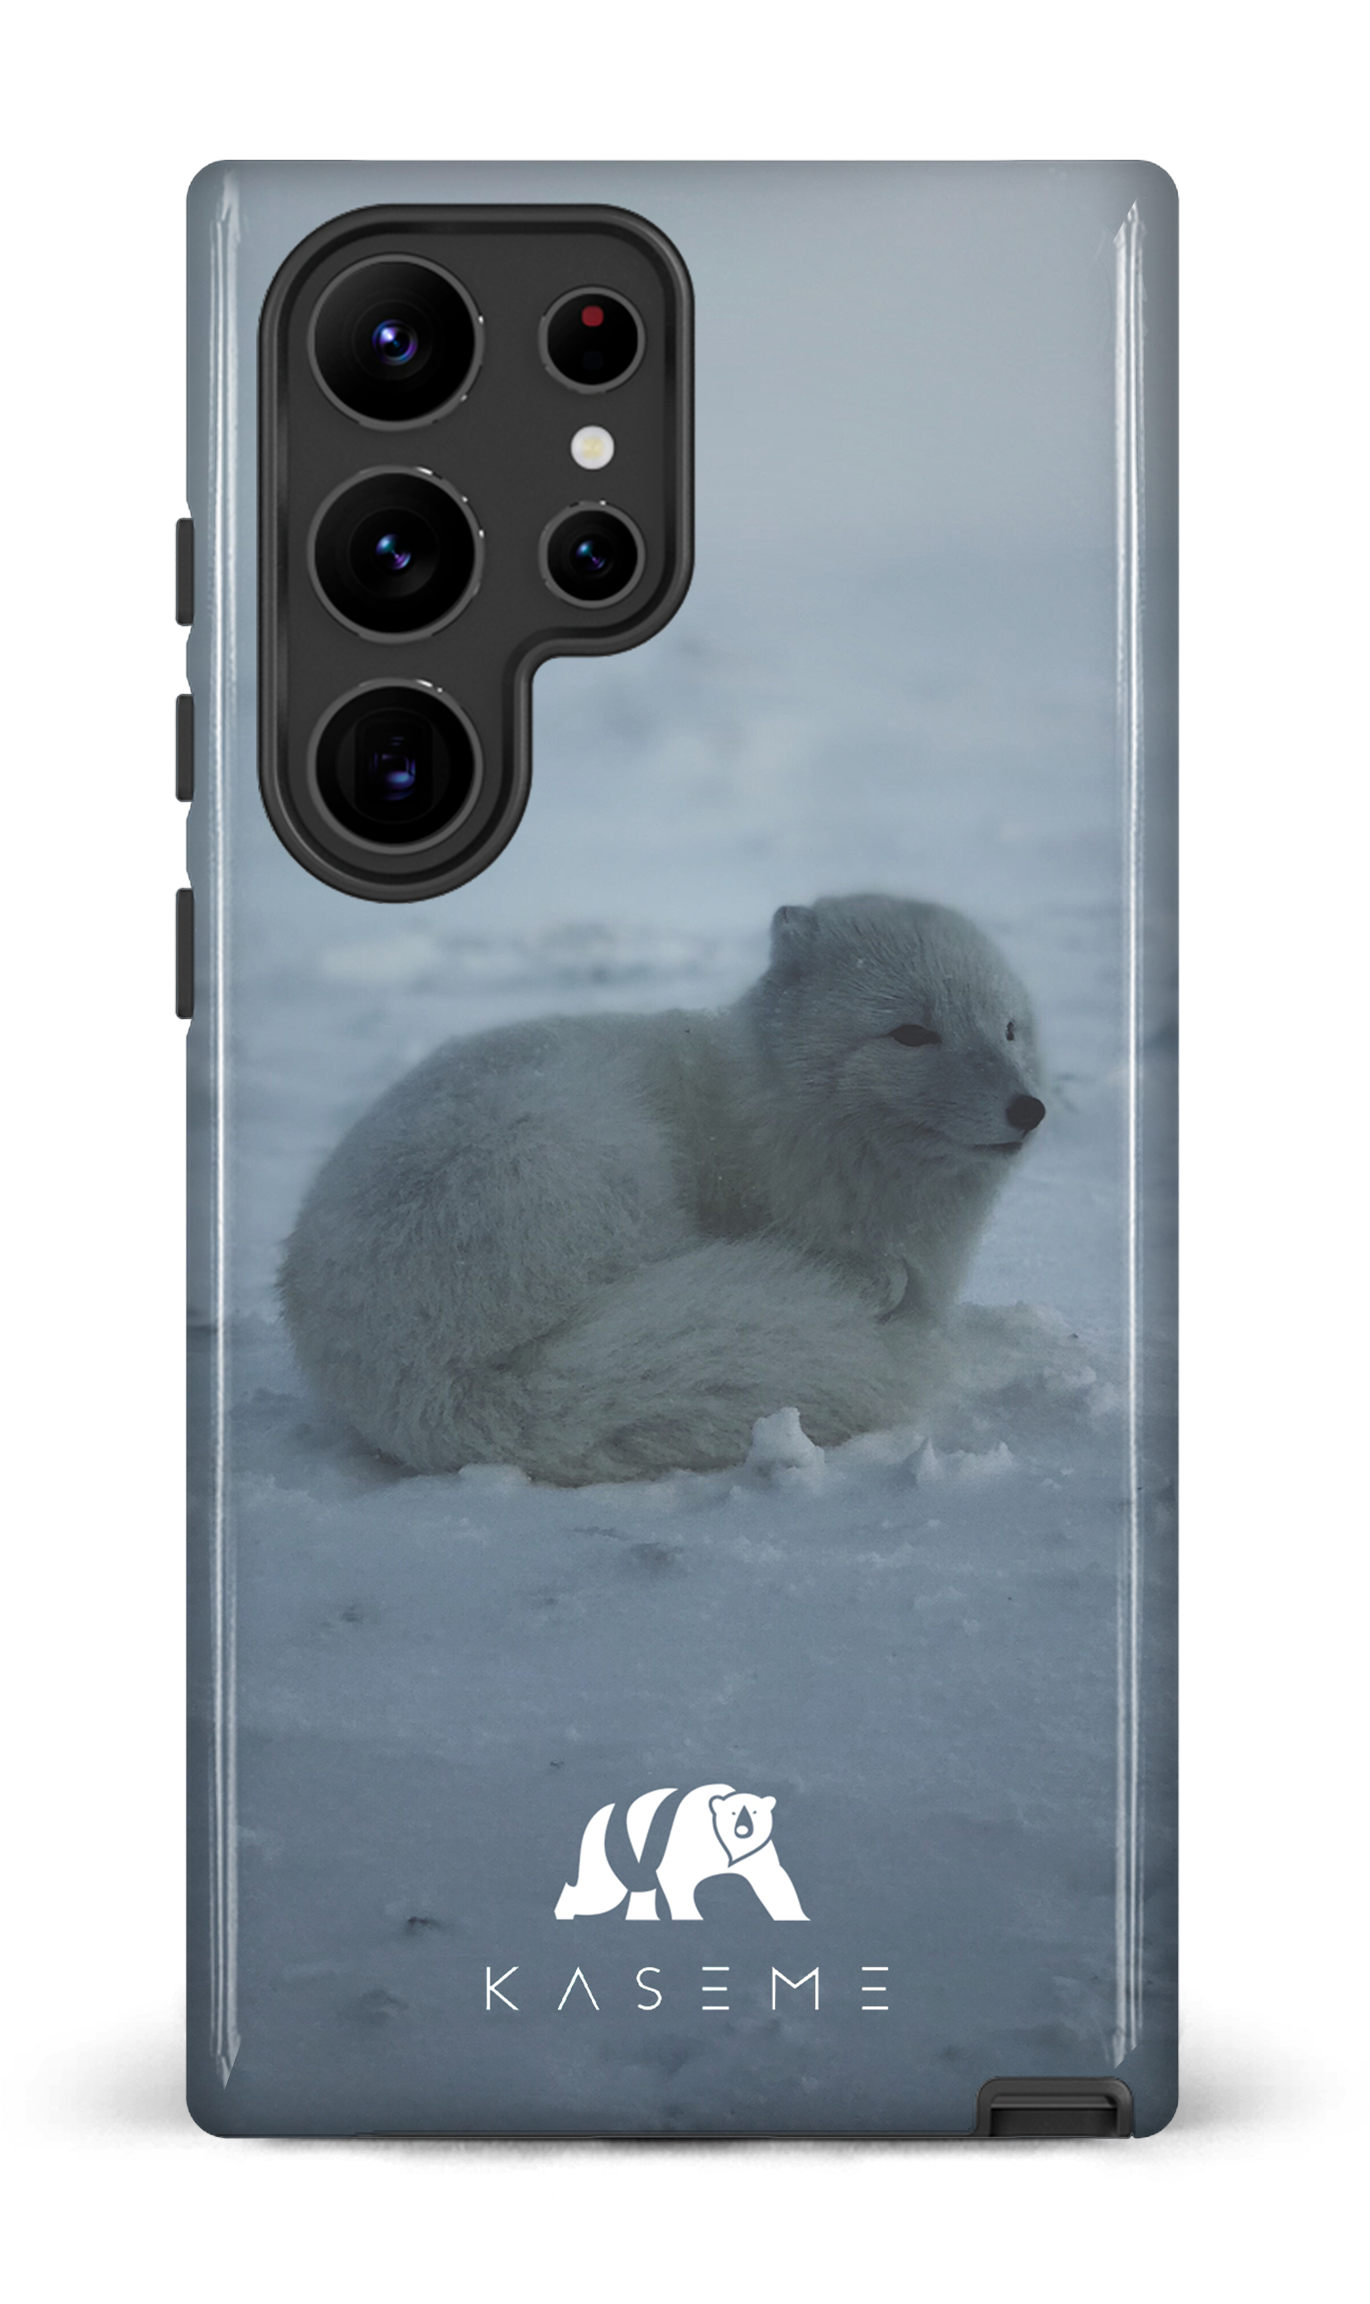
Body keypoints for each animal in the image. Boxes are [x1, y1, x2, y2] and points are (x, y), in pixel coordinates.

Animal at [280, 895, 1046, 1484]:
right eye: (911, 1033)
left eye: (1009, 1028)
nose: (1029, 1109)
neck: (774, 1110)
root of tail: (435, 1384)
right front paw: (872, 1282)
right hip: (590, 1158)